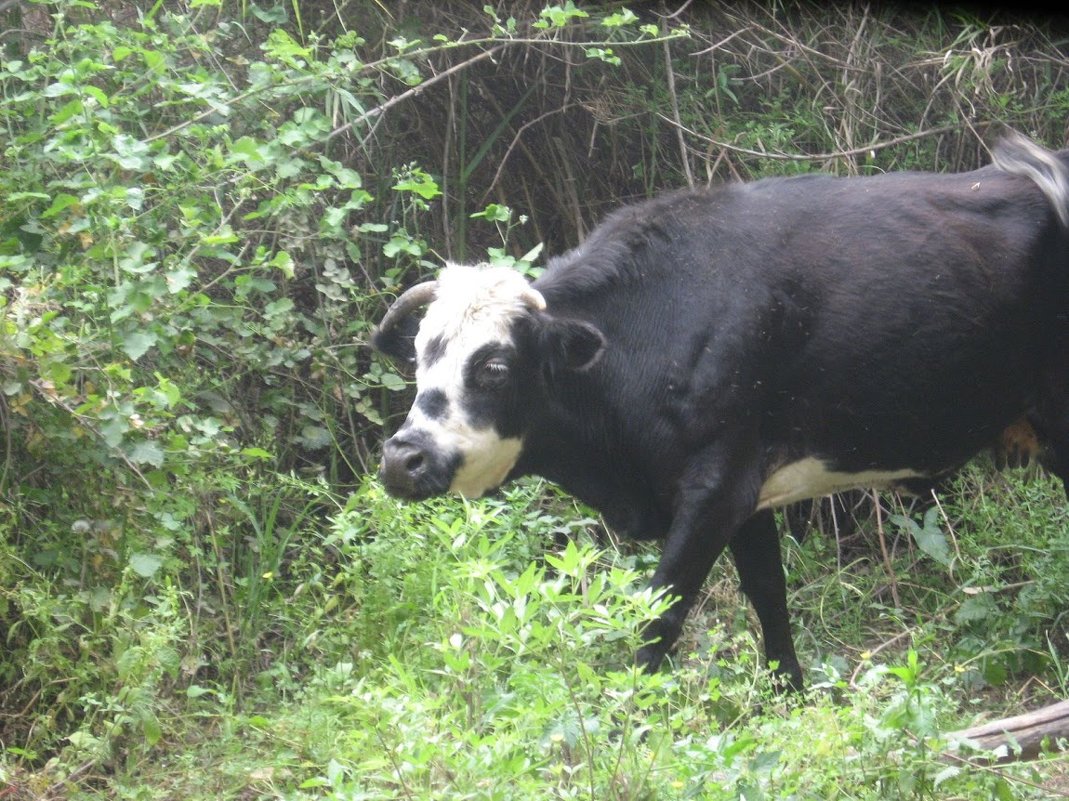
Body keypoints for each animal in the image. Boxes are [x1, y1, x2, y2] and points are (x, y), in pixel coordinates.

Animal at [369, 131, 1069, 688]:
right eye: (420, 356)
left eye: (493, 366)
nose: (403, 458)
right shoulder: (747, 491)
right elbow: (769, 597)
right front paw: (792, 698)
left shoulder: (715, 486)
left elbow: (660, 615)